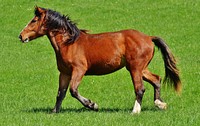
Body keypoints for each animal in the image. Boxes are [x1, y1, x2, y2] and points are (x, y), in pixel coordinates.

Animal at [18, 6, 181, 113]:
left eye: (33, 21)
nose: (21, 36)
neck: (69, 43)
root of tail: (148, 37)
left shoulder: (79, 70)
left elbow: (73, 90)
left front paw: (92, 105)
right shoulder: (64, 73)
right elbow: (61, 93)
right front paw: (54, 112)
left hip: (135, 68)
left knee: (140, 88)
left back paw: (135, 111)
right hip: (140, 68)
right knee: (156, 79)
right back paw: (160, 104)